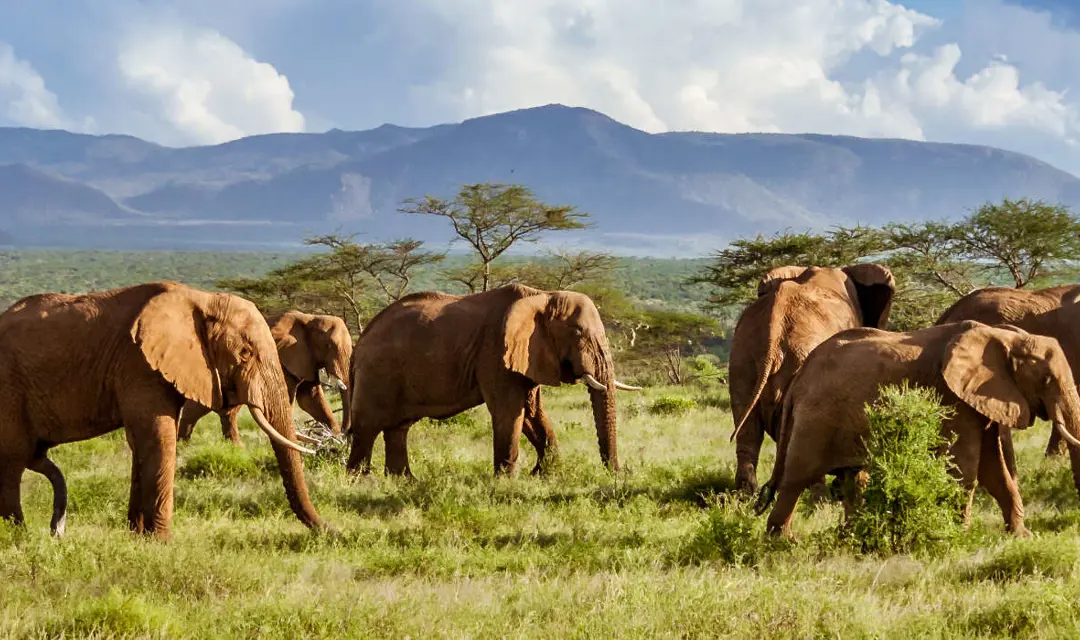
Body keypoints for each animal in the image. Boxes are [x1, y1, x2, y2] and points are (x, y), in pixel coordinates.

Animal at [0, 282, 325, 540]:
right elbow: (158, 437)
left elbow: (140, 443)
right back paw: (17, 536)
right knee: (13, 459)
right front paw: (161, 541)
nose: (328, 530)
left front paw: (137, 536)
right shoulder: (139, 363)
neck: (202, 299)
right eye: (245, 353)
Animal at [178, 310, 353, 444]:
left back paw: (236, 448)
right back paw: (184, 446)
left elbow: (310, 399)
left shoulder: (306, 360)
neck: (309, 318)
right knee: (198, 408)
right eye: (329, 345)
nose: (345, 433)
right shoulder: (282, 360)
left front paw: (334, 437)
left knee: (228, 411)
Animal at [346, 284, 640, 477]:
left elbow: (533, 413)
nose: (617, 473)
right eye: (578, 332)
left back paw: (403, 482)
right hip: (377, 372)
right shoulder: (496, 351)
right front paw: (507, 481)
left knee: (397, 429)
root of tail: (360, 341)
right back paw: (361, 481)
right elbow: (509, 411)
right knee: (367, 427)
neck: (543, 296)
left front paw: (546, 475)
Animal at [759, 321, 1080, 539]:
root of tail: (799, 378)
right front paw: (960, 535)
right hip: (816, 417)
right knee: (797, 477)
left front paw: (1022, 536)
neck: (1004, 337)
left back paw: (851, 535)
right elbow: (965, 468)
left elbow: (994, 471)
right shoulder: (953, 398)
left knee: (851, 479)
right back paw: (782, 541)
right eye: (1047, 379)